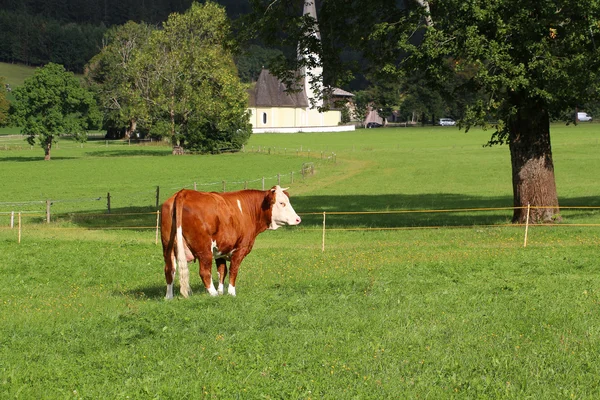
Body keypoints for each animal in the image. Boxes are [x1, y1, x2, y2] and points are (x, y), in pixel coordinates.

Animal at [161, 184, 300, 296]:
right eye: (281, 203)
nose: (298, 219)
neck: (248, 210)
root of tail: (184, 192)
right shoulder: (241, 248)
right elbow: (233, 270)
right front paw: (231, 293)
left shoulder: (220, 250)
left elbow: (222, 271)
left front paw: (221, 292)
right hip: (204, 249)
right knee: (204, 272)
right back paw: (213, 295)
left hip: (168, 246)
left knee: (169, 269)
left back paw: (169, 297)